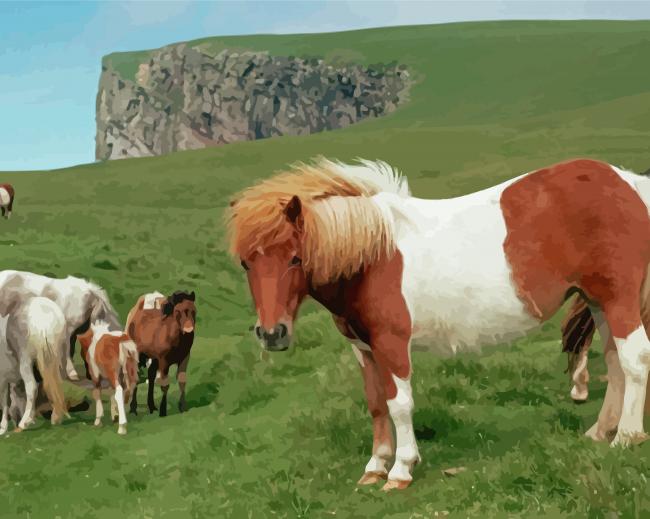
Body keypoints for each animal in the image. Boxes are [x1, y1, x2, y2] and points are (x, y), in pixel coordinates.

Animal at [0, 297, 69, 433]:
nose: (16, 420)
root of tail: (44, 322)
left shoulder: (3, 376)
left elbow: (5, 401)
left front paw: (3, 427)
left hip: (26, 360)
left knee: (32, 387)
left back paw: (24, 422)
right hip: (58, 357)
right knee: (56, 384)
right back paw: (55, 418)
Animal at [227, 157, 650, 491]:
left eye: (295, 258)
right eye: (246, 262)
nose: (272, 334)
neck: (371, 255)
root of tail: (630, 184)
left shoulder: (392, 343)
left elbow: (399, 404)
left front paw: (401, 469)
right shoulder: (363, 348)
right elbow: (375, 404)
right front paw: (375, 466)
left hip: (618, 299)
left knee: (635, 360)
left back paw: (626, 437)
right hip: (597, 302)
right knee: (615, 363)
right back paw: (601, 432)